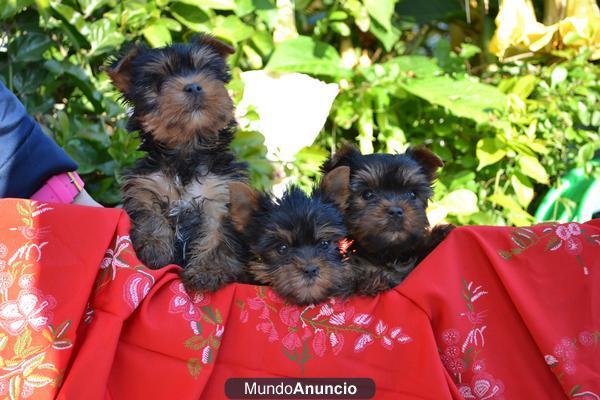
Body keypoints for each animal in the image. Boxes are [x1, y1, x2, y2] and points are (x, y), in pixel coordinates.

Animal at [108, 35, 248, 290]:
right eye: (160, 80)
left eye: (205, 70)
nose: (193, 86)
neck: (186, 152)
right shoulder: (146, 186)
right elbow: (149, 215)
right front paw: (155, 251)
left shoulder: (221, 195)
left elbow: (218, 235)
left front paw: (207, 271)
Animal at [322, 144, 452, 296]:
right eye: (367, 194)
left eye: (412, 194)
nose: (396, 211)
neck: (388, 255)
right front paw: (370, 280)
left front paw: (438, 234)